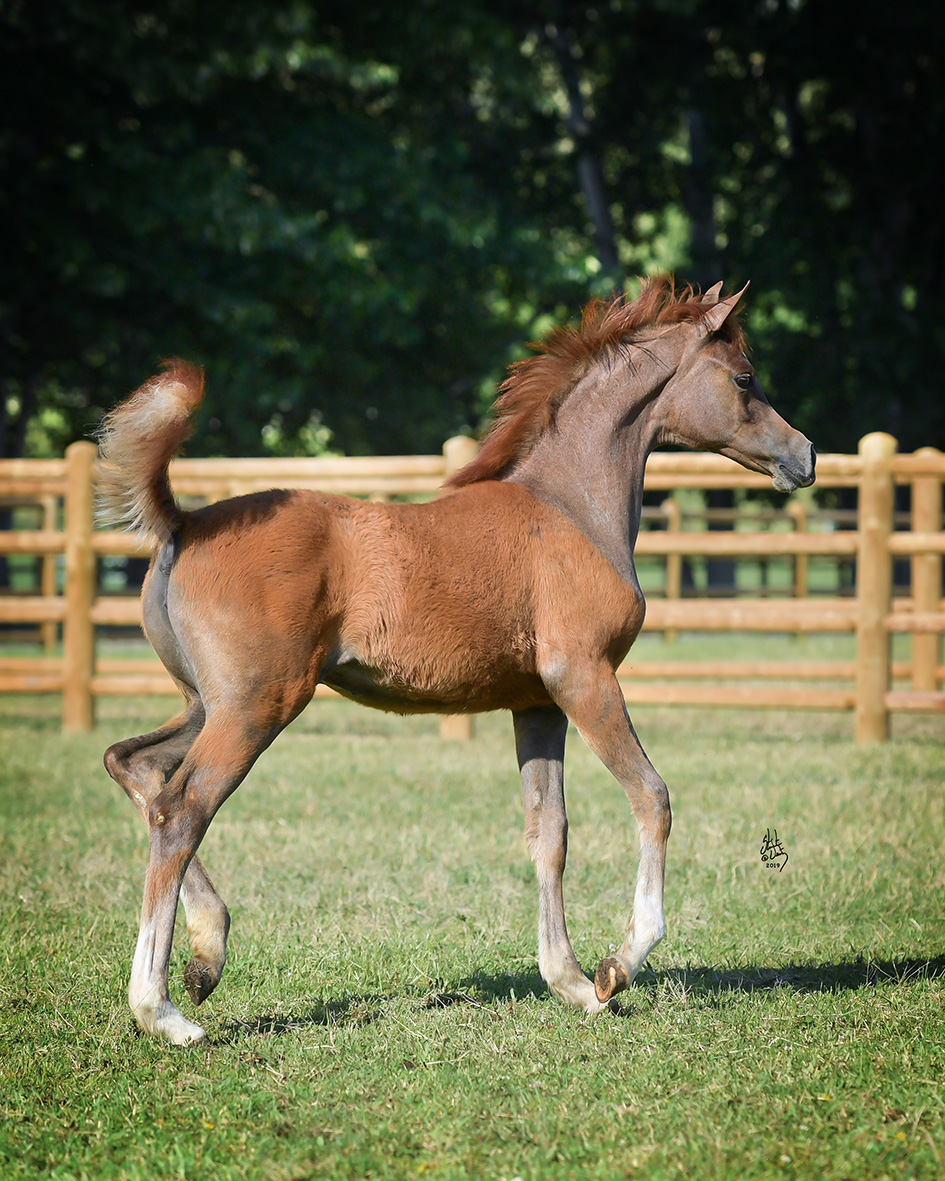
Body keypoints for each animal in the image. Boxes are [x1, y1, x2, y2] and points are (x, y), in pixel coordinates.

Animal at [97, 276, 815, 1045]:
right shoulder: (584, 677)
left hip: (205, 703)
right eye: (744, 378)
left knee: (134, 767)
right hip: (256, 705)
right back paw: (162, 1009)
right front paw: (616, 967)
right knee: (182, 810)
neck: (569, 508)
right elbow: (651, 797)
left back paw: (207, 955)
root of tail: (184, 523)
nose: (804, 455)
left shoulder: (535, 701)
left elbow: (549, 833)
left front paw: (569, 982)